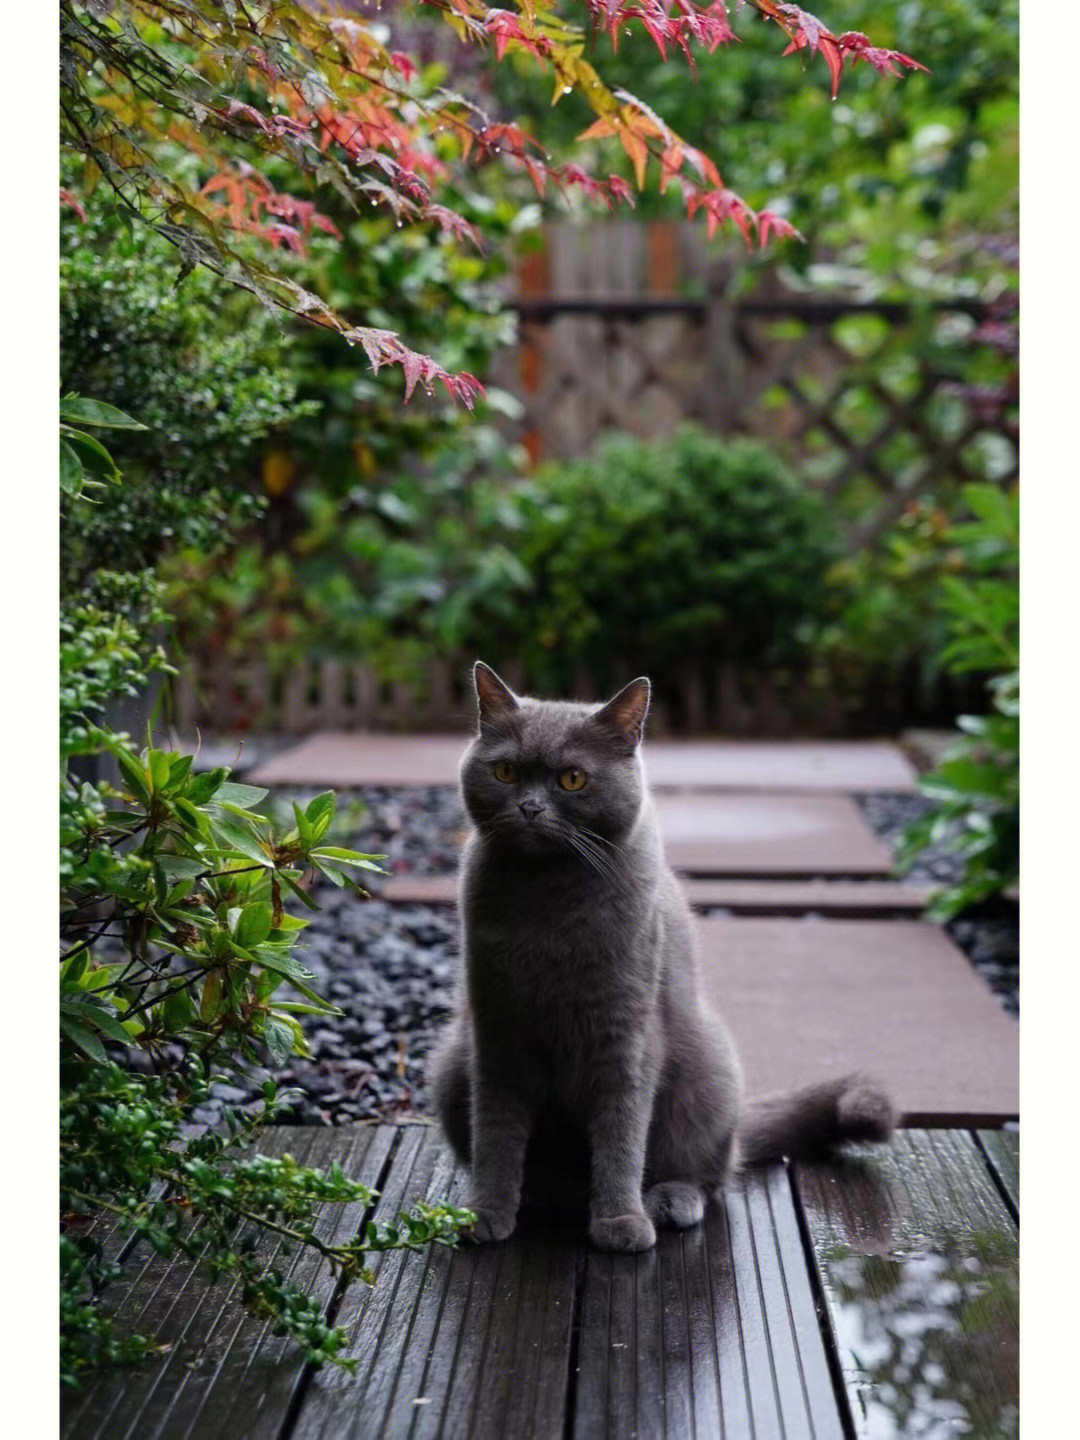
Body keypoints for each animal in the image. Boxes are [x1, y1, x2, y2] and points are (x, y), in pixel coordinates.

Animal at [432, 662, 898, 1249]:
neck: (549, 901)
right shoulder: (497, 1031)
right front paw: (485, 1213)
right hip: (451, 1065)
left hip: (710, 1071)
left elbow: (621, 1133)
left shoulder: (626, 1034)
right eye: (507, 772)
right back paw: (541, 1192)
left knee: (708, 1173)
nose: (530, 807)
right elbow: (495, 1133)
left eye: (572, 779)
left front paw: (619, 1222)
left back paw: (669, 1201)